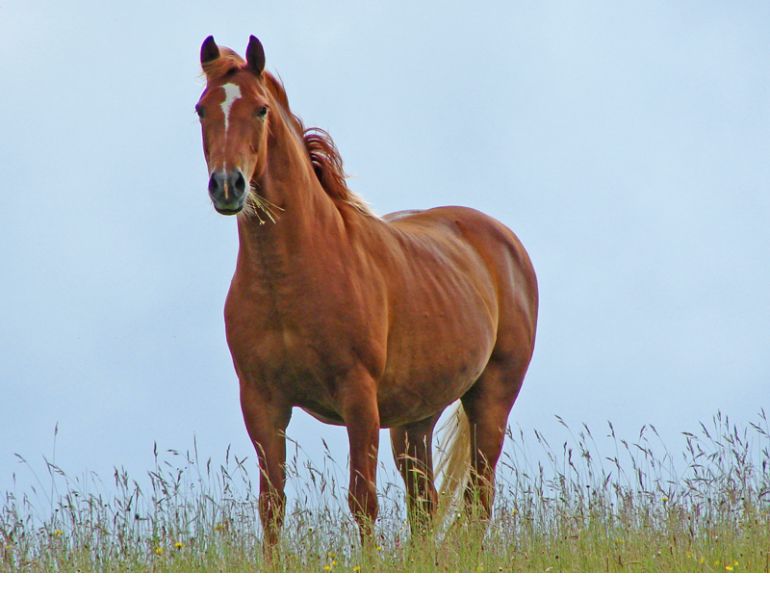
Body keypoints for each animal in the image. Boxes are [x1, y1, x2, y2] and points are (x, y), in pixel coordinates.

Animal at [194, 35, 538, 546]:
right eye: (201, 109)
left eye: (259, 109)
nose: (227, 185)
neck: (290, 276)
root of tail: (504, 241)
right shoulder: (261, 402)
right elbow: (271, 507)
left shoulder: (358, 398)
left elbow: (362, 502)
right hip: (416, 419)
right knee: (425, 503)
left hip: (491, 397)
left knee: (478, 496)